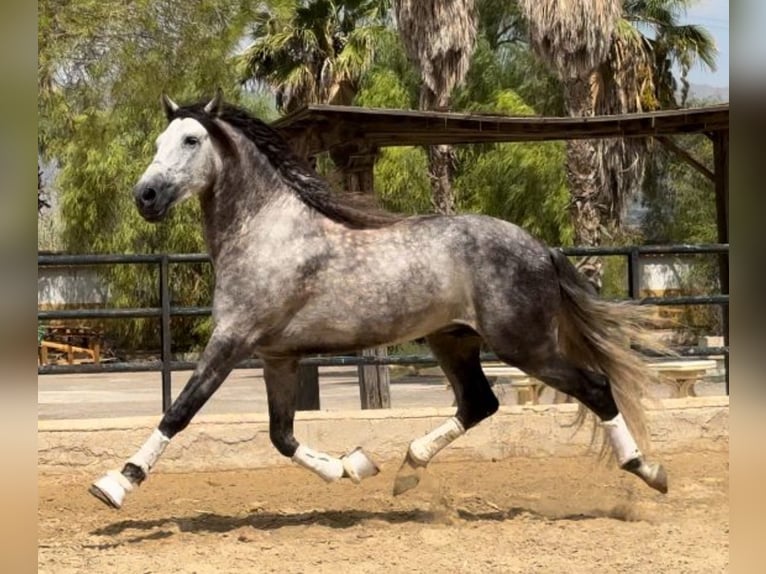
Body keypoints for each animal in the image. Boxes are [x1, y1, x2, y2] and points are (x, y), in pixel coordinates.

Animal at [90, 92, 668, 510]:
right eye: (159, 139)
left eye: (190, 139)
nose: (145, 196)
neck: (267, 233)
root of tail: (541, 248)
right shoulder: (278, 356)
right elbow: (281, 435)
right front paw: (353, 466)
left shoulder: (232, 340)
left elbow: (180, 411)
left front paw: (116, 484)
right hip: (453, 339)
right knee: (479, 403)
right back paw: (408, 469)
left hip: (524, 344)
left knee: (595, 388)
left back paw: (649, 471)